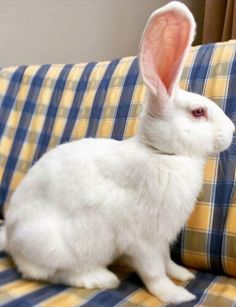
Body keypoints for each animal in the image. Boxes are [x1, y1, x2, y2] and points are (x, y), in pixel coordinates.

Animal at [0, 1, 235, 306]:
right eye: (198, 112)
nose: (232, 131)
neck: (163, 153)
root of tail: (11, 237)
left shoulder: (161, 239)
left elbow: (167, 262)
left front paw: (183, 274)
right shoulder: (142, 240)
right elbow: (154, 271)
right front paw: (175, 294)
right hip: (58, 246)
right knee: (51, 272)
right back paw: (100, 278)